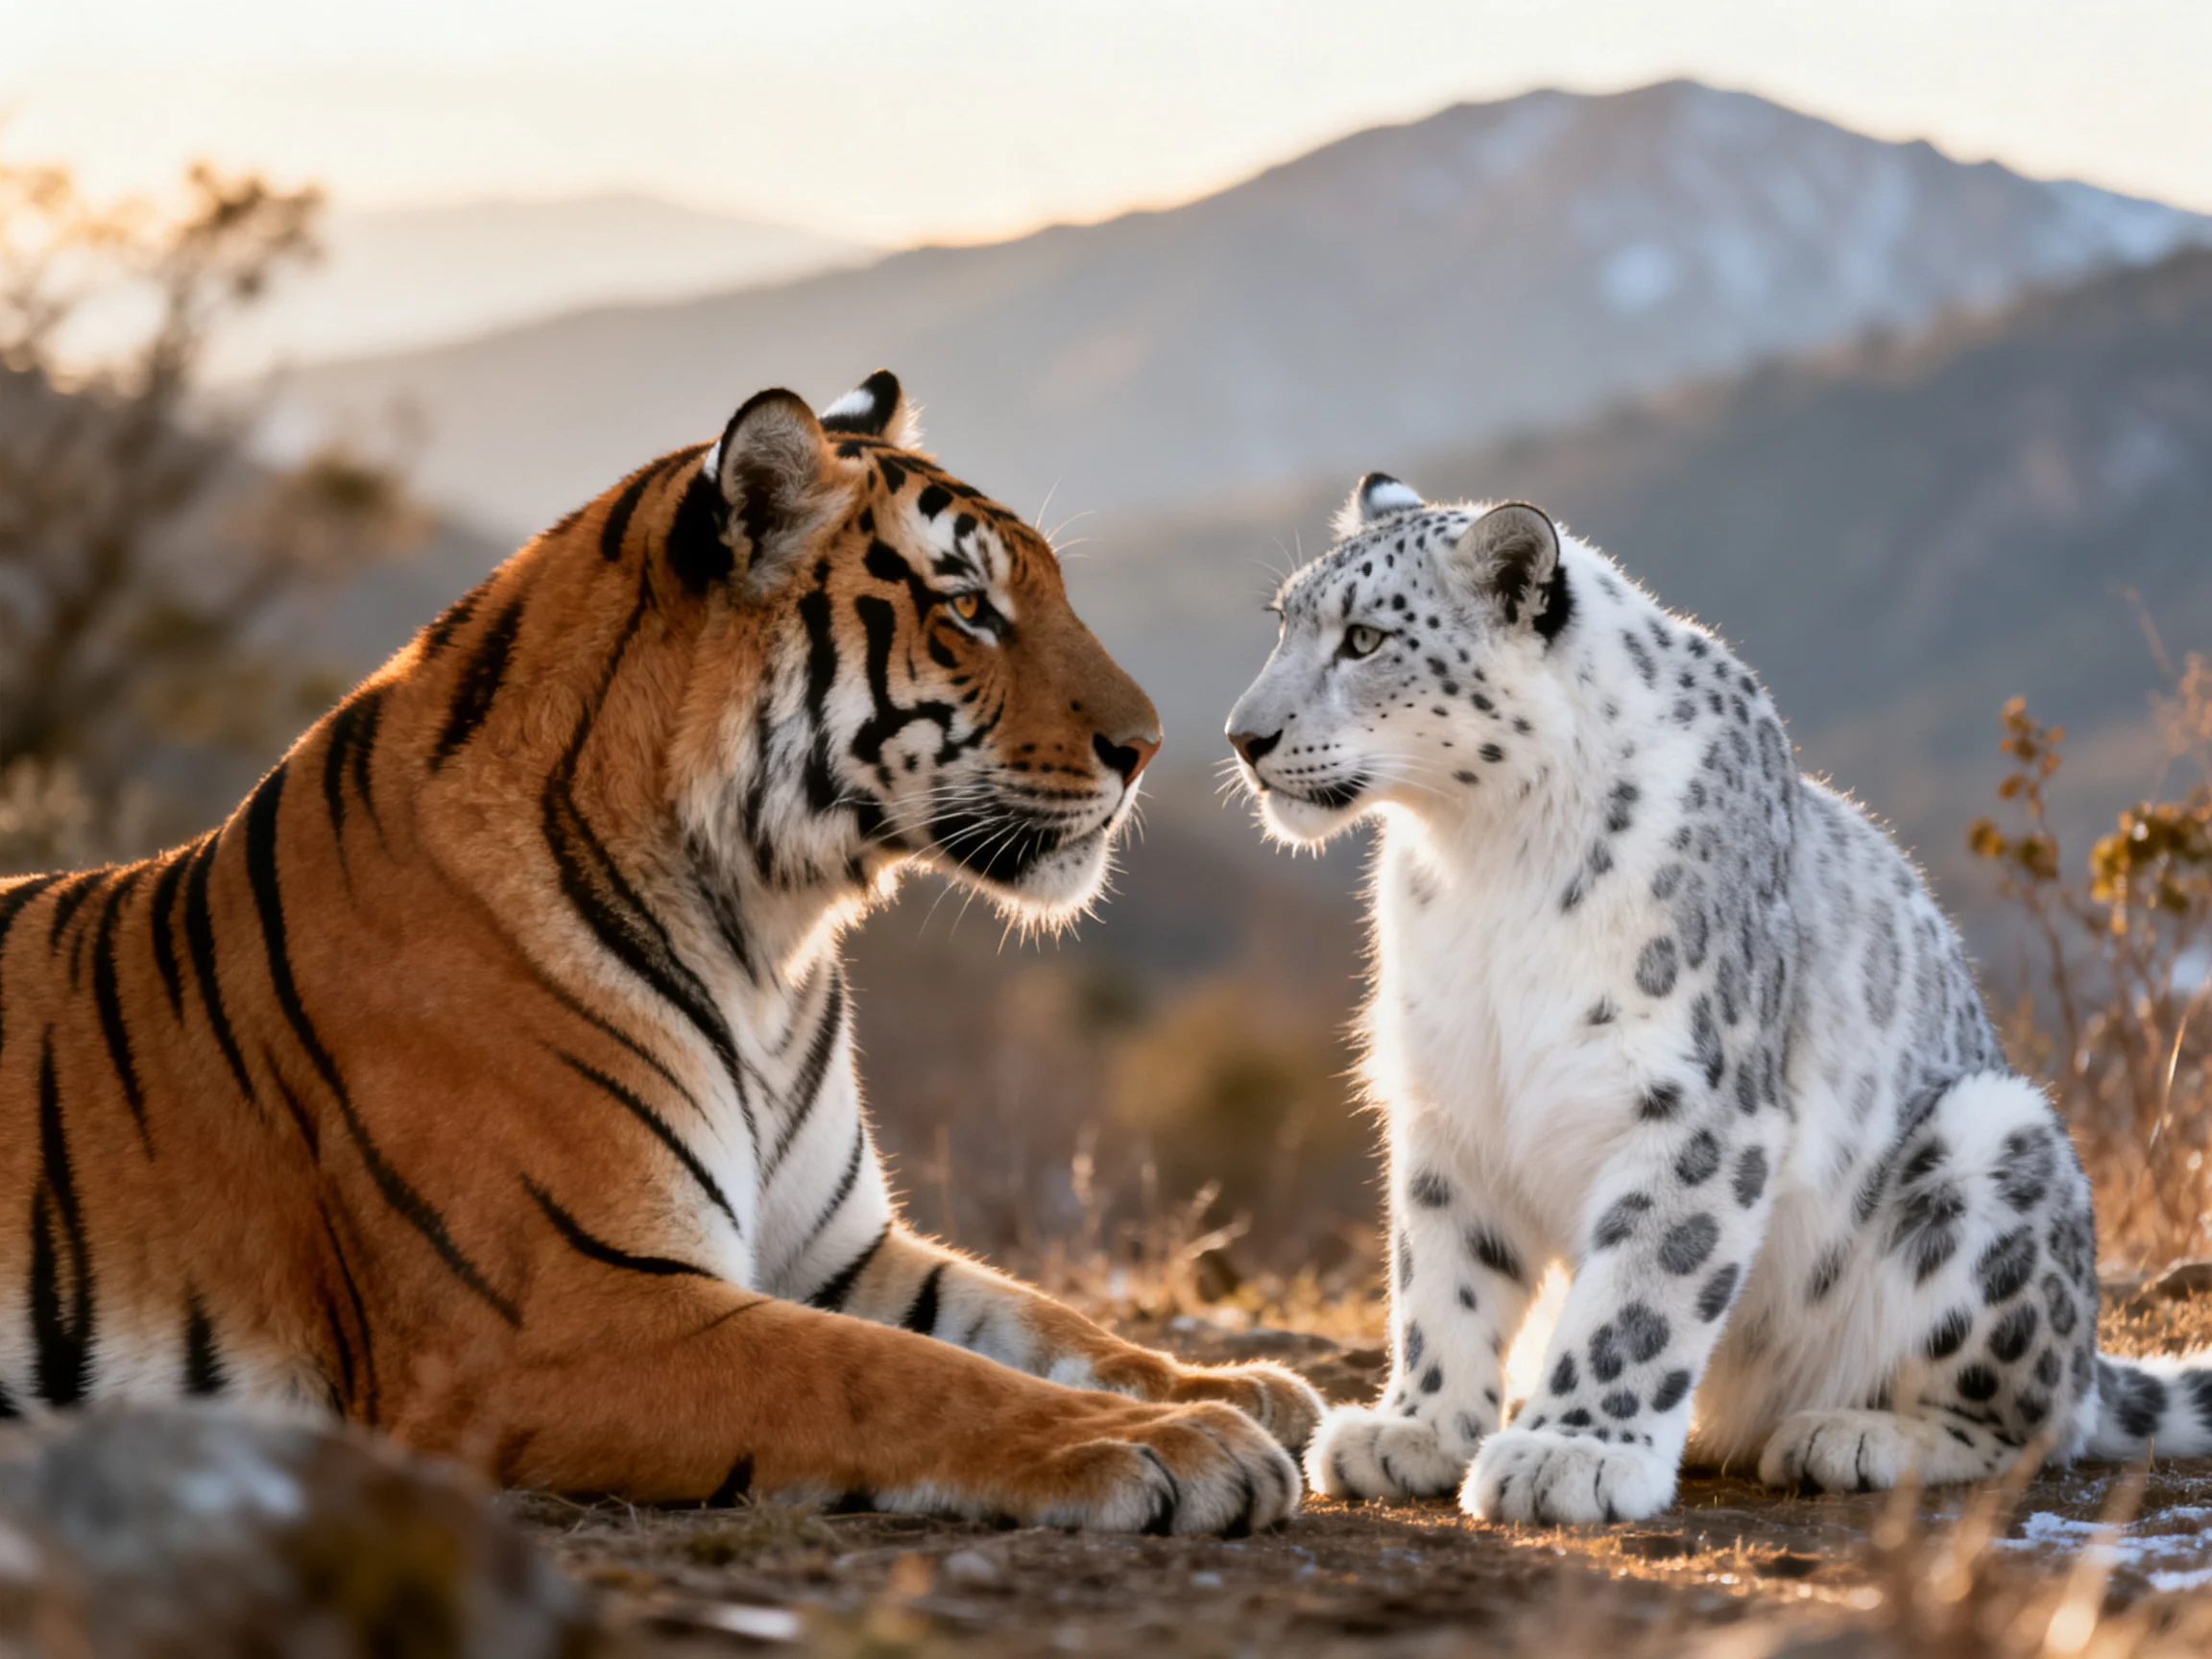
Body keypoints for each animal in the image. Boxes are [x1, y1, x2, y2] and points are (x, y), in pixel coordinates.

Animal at [0, 371, 1320, 1534]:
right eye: (966, 608)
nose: (1151, 747)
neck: (770, 941)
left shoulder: (838, 1251)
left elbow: (1041, 1322)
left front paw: (1236, 1387)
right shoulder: (557, 1314)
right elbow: (885, 1376)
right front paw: (1174, 1443)